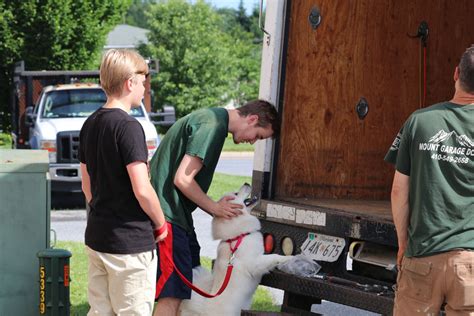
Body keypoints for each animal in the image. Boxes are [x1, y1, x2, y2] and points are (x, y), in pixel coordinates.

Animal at [180, 184, 290, 314]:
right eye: (236, 193)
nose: (247, 183)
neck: (237, 237)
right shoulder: (254, 263)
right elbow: (274, 257)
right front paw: (290, 258)